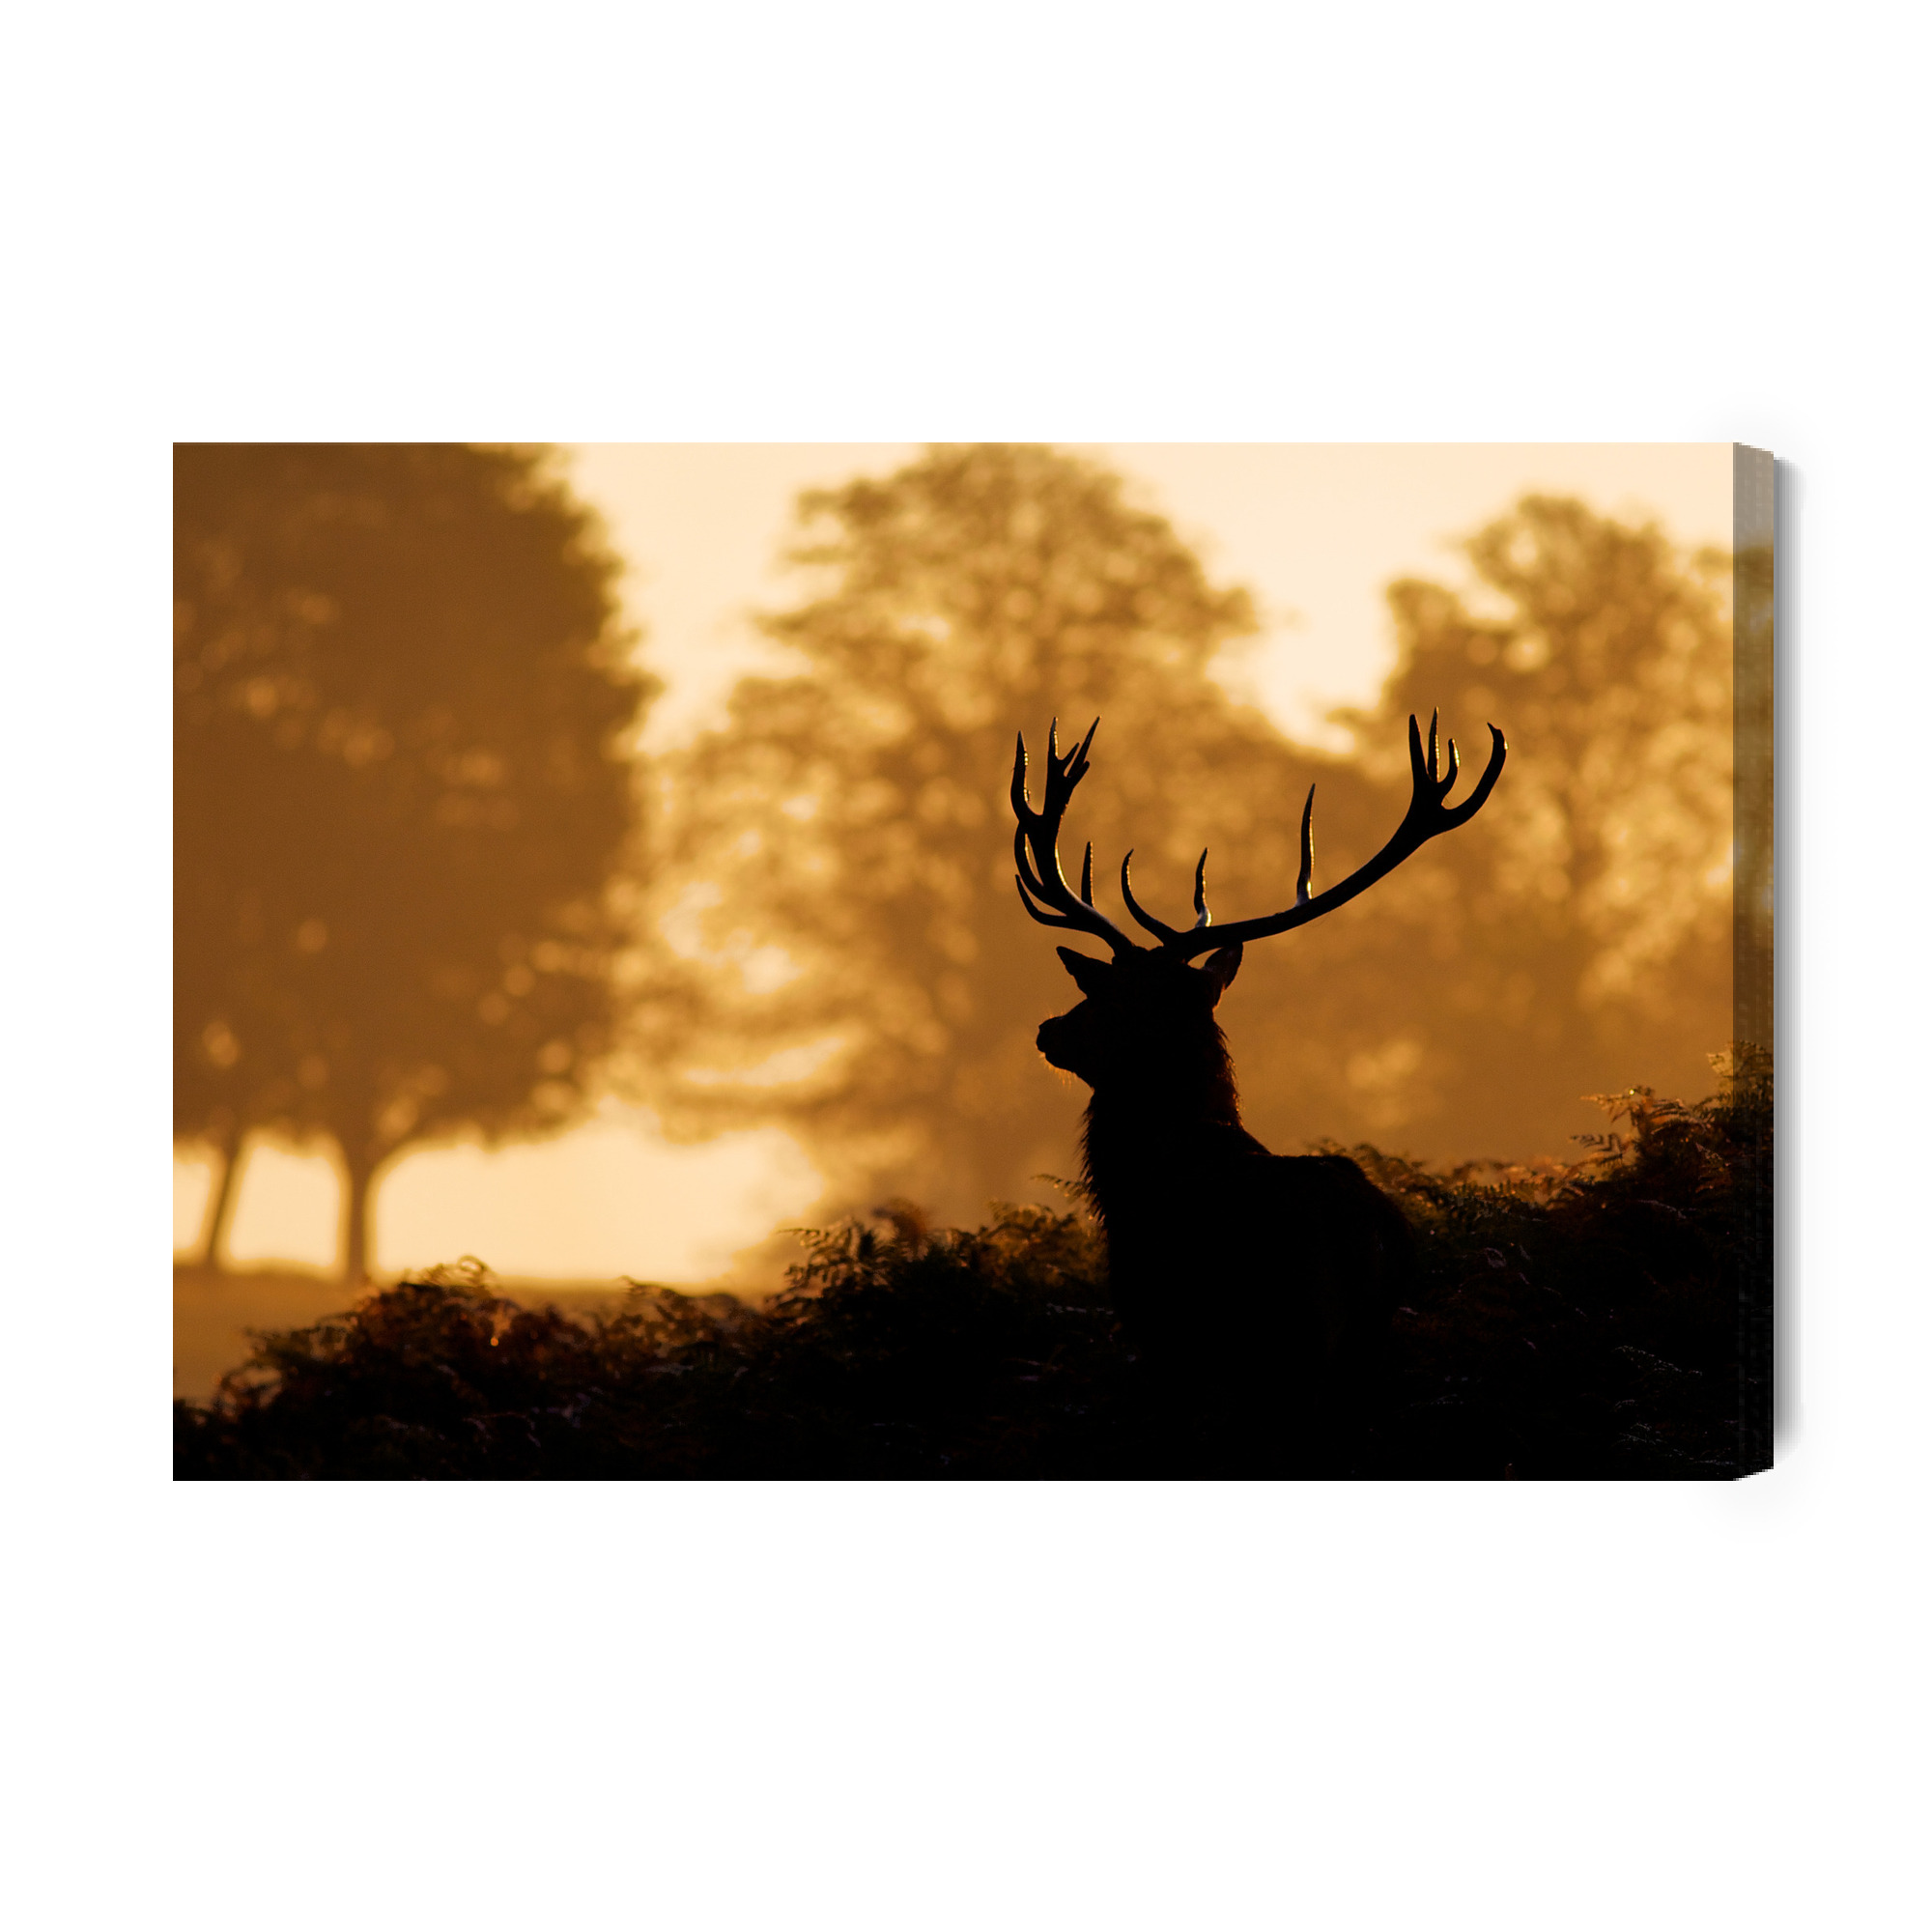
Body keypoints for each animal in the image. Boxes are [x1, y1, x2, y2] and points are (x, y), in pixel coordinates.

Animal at [1012, 711, 1506, 1467]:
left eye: (1110, 994)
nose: (1049, 1030)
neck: (1133, 1184)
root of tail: (1365, 1239)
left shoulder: (1162, 1332)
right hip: (1363, 1351)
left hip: (1288, 1344)